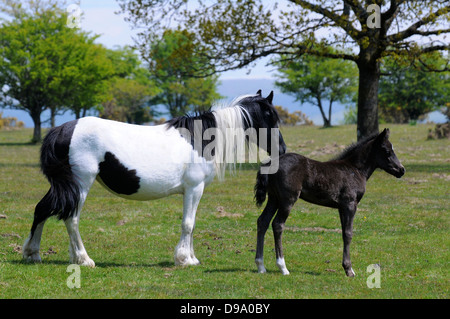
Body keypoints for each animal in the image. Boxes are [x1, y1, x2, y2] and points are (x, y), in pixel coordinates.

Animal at [22, 90, 286, 268]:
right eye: (270, 117)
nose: (282, 149)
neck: (201, 138)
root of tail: (63, 129)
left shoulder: (194, 191)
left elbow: (192, 224)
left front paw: (191, 258)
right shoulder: (194, 188)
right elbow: (188, 223)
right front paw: (185, 259)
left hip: (63, 186)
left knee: (42, 209)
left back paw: (33, 253)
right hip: (80, 184)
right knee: (71, 218)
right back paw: (84, 259)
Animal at [255, 129, 406, 278]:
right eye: (386, 150)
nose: (401, 170)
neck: (355, 170)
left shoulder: (341, 207)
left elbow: (344, 232)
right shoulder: (350, 204)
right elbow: (348, 233)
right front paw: (349, 270)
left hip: (274, 198)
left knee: (263, 221)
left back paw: (261, 266)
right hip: (287, 200)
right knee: (277, 224)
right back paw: (283, 267)